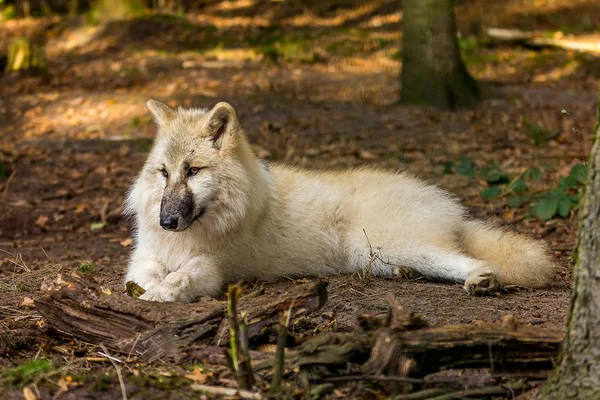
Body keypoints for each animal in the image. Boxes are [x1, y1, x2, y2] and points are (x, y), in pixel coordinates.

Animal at [123, 101, 556, 304]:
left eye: (194, 171)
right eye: (164, 172)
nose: (166, 222)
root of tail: (449, 205)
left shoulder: (215, 268)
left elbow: (182, 278)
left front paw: (161, 293)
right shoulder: (144, 257)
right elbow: (142, 276)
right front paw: (145, 288)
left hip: (389, 243)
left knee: (470, 260)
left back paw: (481, 280)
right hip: (367, 254)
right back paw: (404, 274)